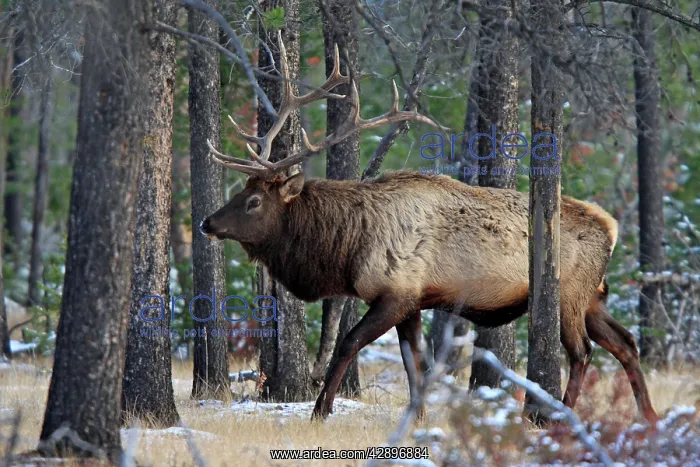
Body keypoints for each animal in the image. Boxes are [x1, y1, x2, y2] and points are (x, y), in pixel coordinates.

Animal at [200, 31, 659, 425]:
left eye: (254, 202)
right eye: (242, 190)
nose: (207, 222)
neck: (348, 248)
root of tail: (612, 227)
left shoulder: (395, 292)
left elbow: (349, 343)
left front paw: (320, 410)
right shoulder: (414, 301)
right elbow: (414, 364)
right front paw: (418, 417)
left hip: (568, 293)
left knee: (582, 352)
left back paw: (560, 417)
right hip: (592, 296)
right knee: (626, 343)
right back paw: (650, 416)